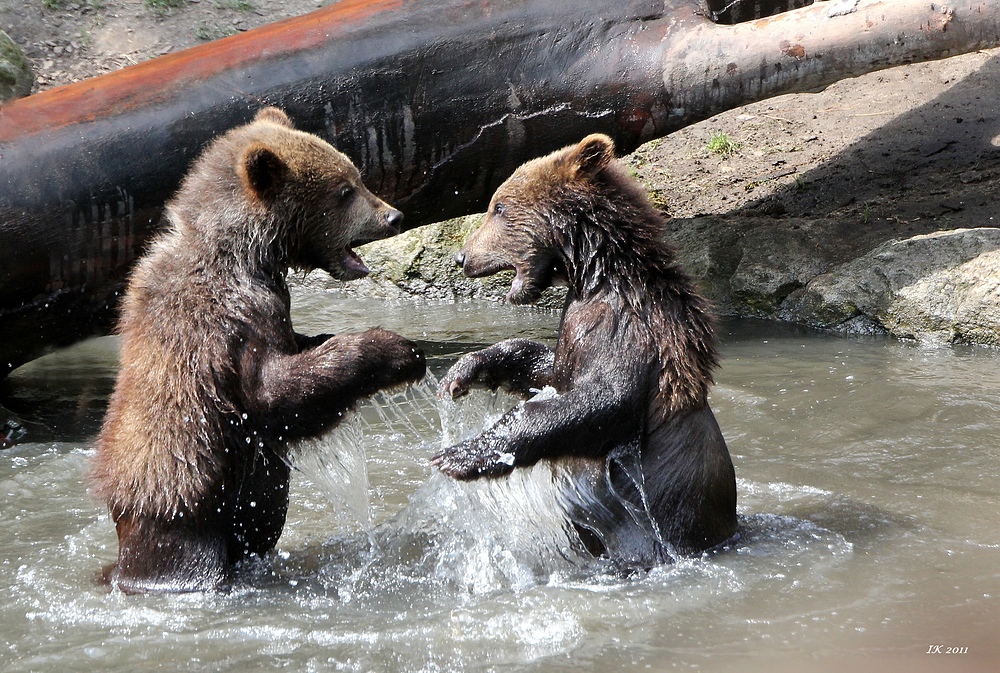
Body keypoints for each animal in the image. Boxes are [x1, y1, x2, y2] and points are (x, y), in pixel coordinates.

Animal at [97, 106, 430, 592]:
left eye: (356, 175)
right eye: (345, 190)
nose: (393, 216)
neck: (248, 254)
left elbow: (297, 354)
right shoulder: (231, 321)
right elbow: (274, 394)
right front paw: (396, 349)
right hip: (184, 509)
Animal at [436, 134, 736, 564]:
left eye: (499, 207)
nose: (462, 257)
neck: (593, 275)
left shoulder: (628, 327)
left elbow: (605, 398)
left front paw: (460, 454)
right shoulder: (575, 331)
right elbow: (548, 368)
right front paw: (464, 371)